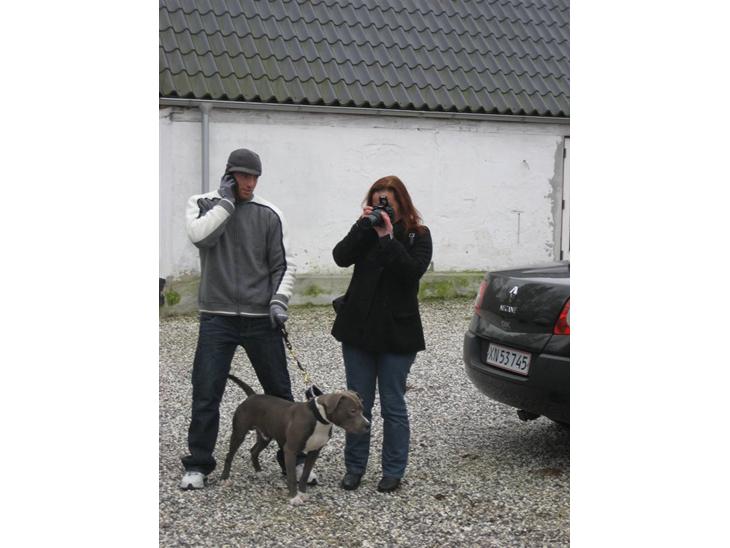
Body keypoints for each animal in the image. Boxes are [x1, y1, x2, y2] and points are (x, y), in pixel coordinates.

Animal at [220, 374, 370, 505]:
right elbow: (292, 477)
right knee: (229, 455)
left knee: (253, 451)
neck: (318, 417)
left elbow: (304, 475)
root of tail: (252, 396)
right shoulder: (290, 450)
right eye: (352, 411)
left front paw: (302, 493)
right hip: (239, 433)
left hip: (265, 435)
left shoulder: (314, 451)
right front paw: (294, 498)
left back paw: (259, 472)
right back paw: (225, 479)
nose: (368, 425)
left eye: (362, 409)